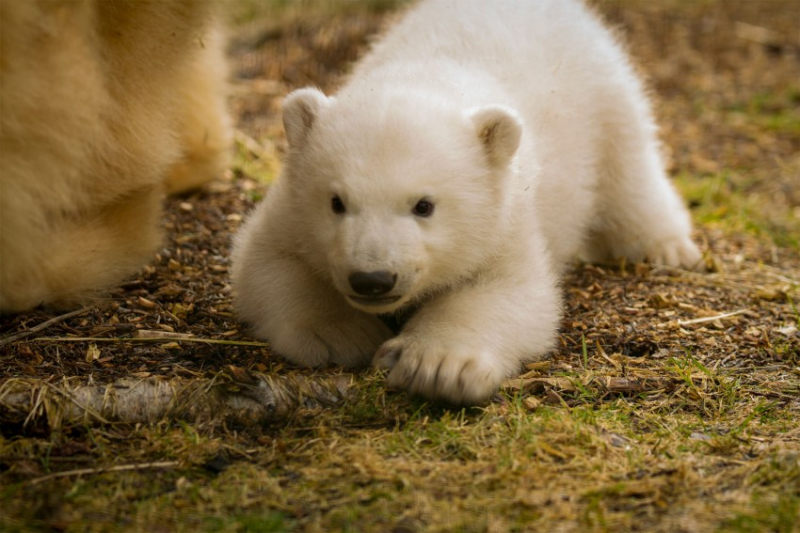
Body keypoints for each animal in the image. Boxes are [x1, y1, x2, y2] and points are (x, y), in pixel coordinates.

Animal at [234, 0, 704, 404]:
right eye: (336, 202)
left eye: (424, 206)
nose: (372, 279)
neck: (422, 79)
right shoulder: (290, 208)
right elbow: (265, 259)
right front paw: (343, 335)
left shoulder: (507, 216)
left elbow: (510, 291)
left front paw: (437, 364)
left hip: (604, 93)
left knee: (630, 169)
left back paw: (668, 247)